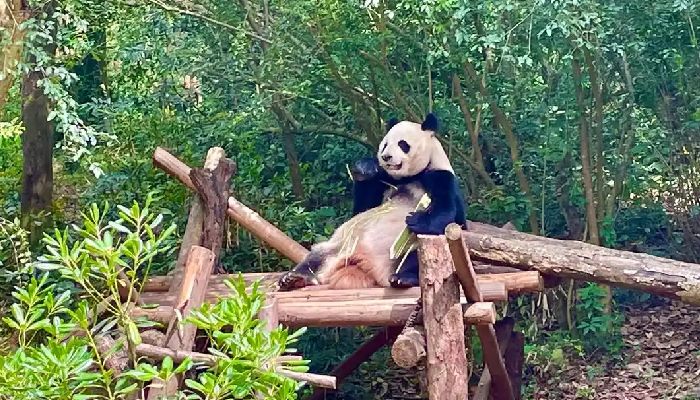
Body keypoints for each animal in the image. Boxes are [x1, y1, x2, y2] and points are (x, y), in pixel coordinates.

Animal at [277, 113, 467, 291]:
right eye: (385, 144)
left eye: (402, 144)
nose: (386, 156)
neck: (409, 177)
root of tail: (364, 262)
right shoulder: (383, 179)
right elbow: (362, 207)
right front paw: (365, 168)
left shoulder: (440, 176)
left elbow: (447, 212)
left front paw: (416, 219)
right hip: (340, 246)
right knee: (316, 257)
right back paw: (294, 278)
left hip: (402, 248)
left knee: (413, 257)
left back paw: (403, 278)